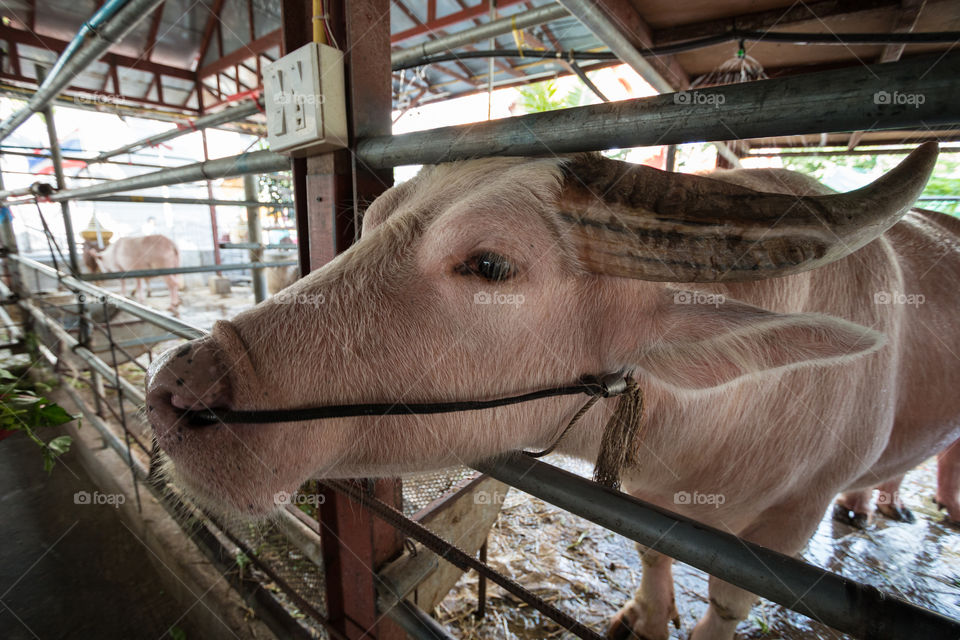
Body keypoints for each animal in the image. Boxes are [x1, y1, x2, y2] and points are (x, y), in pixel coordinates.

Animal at [144, 142, 960, 636]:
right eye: (370, 224)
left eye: (491, 265)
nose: (175, 393)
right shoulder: (649, 497)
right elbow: (653, 555)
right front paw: (645, 617)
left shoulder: (794, 516)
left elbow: (728, 601)